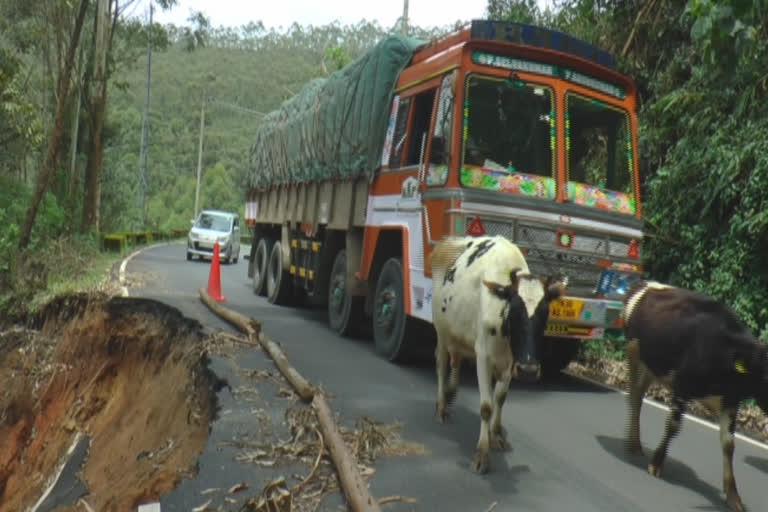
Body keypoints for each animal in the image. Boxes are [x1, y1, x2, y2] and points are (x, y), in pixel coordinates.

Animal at [432, 234, 564, 474]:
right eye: (514, 312)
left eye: (545, 315)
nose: (529, 370)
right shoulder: (483, 356)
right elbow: (486, 406)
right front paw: (482, 454)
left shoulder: (512, 363)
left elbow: (500, 399)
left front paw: (495, 436)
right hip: (442, 331)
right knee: (442, 364)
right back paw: (441, 407)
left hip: (459, 335)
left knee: (456, 360)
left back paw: (451, 392)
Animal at [620, 280, 768, 512]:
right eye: (767, 375)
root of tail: (646, 284)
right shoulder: (683, 386)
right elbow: (673, 426)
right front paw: (656, 463)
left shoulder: (731, 401)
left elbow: (728, 444)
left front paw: (733, 495)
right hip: (634, 353)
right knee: (634, 397)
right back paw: (634, 445)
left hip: (652, 365)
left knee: (639, 393)